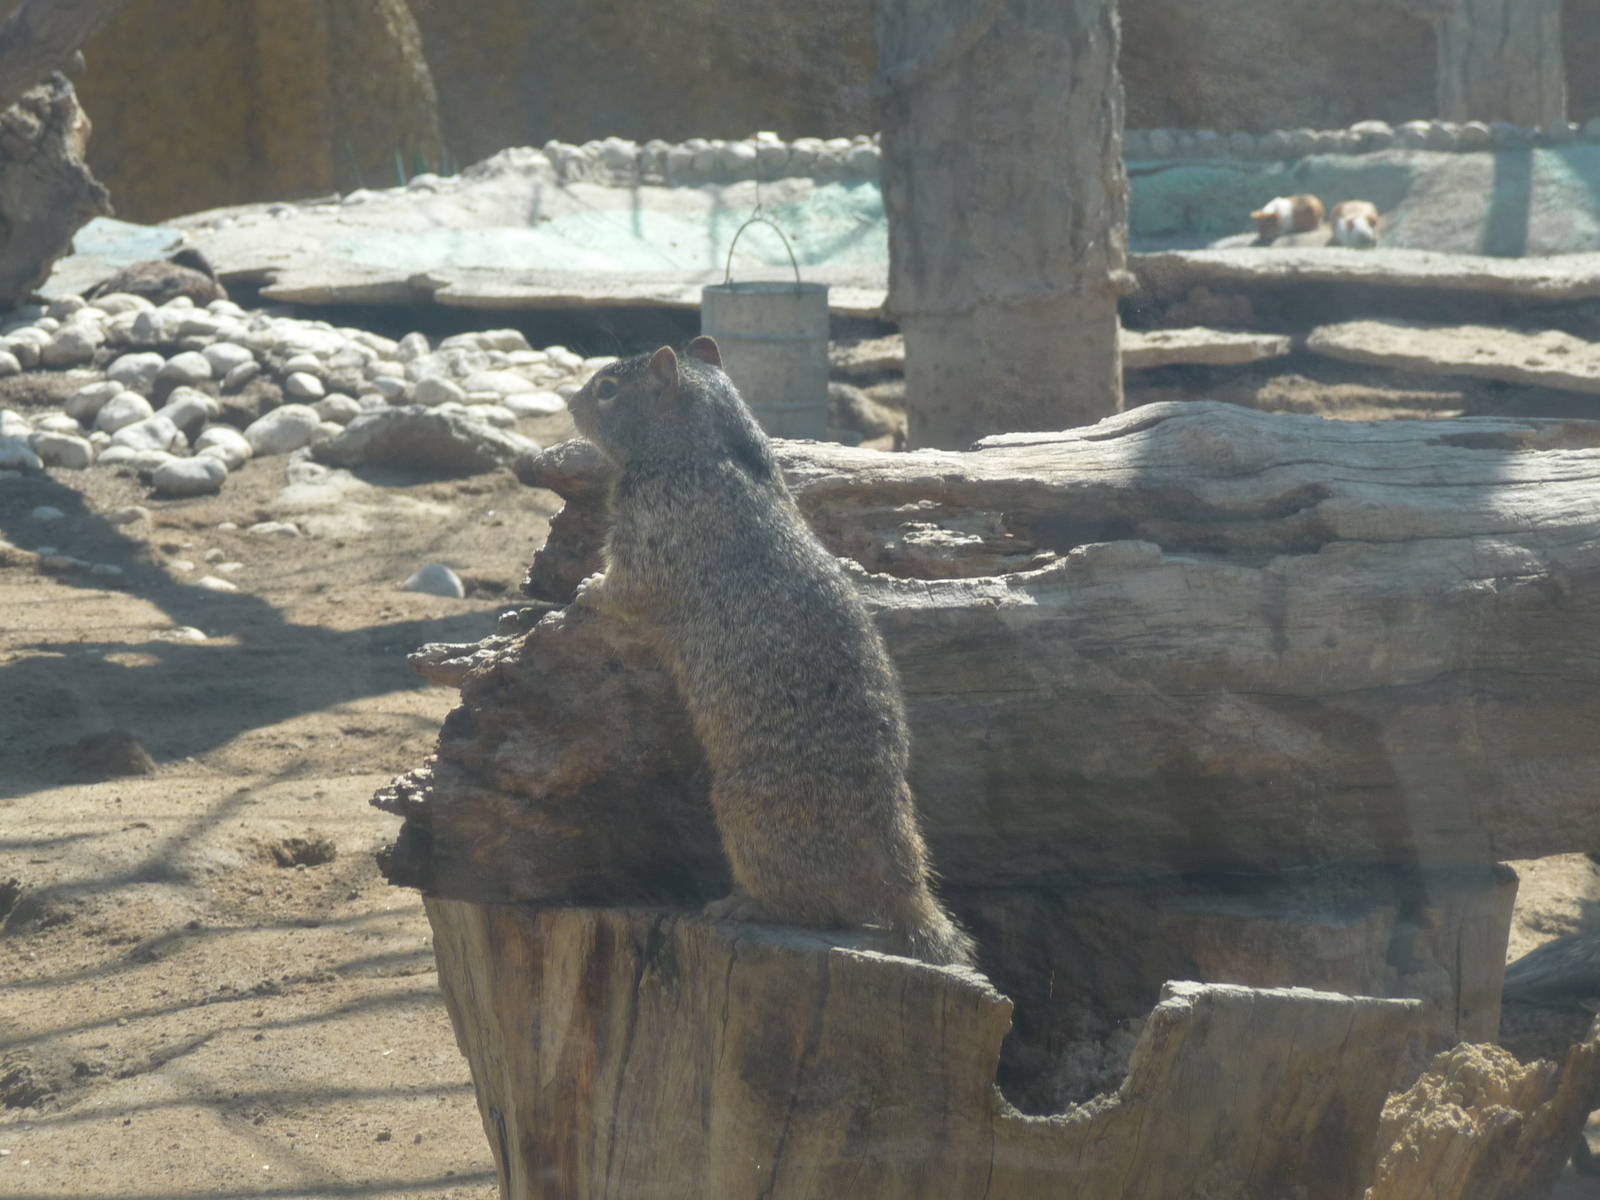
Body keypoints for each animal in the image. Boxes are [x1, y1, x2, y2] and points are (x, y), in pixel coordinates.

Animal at [566, 335, 975, 968]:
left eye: (609, 388)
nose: (569, 403)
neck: (708, 449)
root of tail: (898, 874)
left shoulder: (656, 535)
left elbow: (627, 590)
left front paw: (587, 589)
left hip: (749, 819)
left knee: (814, 908)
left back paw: (745, 904)